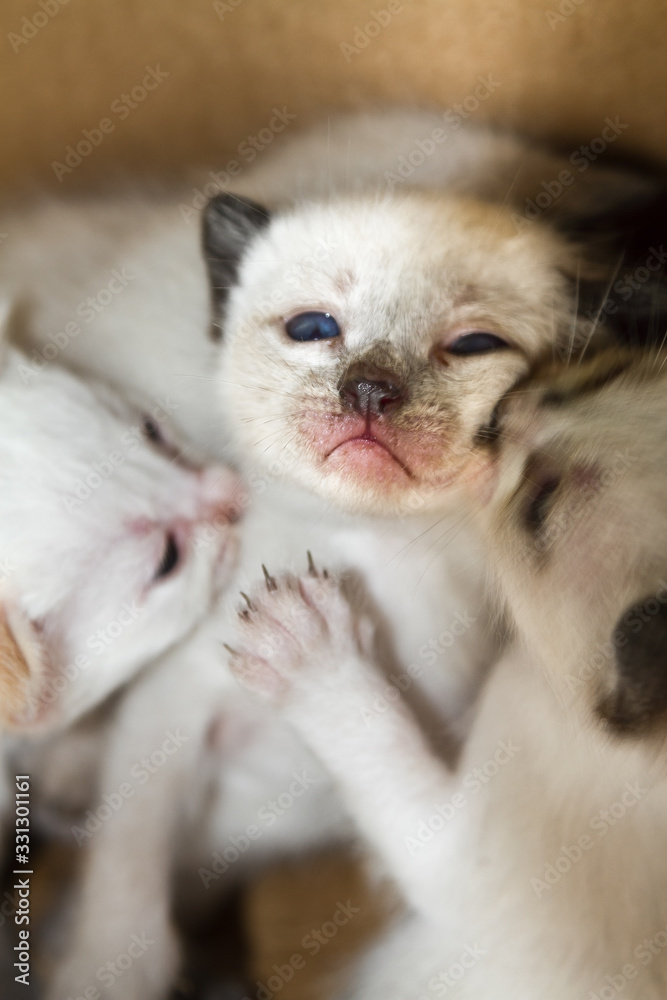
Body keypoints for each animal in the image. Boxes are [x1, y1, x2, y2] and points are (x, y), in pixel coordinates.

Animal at [227, 346, 667, 1000]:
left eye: (538, 508)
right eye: (591, 383)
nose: (503, 409)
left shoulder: (455, 864)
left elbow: (375, 736)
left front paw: (302, 640)